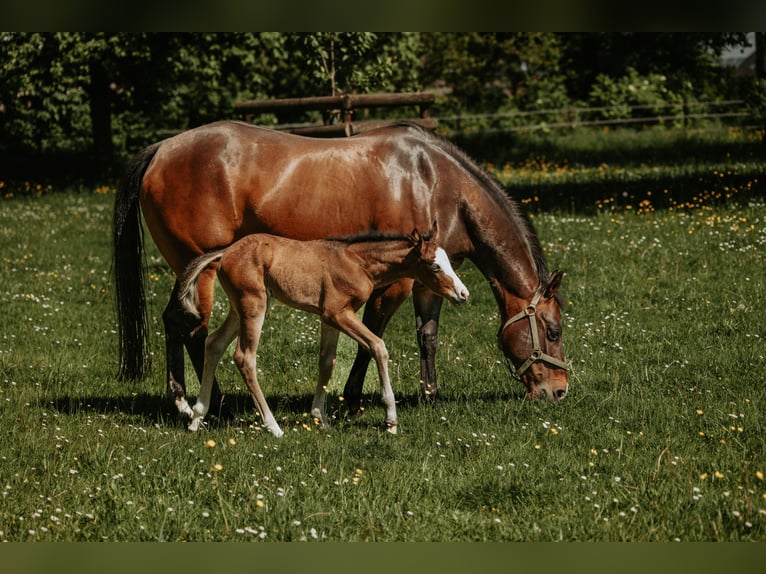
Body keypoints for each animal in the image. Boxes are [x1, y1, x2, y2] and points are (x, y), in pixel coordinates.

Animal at [178, 226, 469, 436]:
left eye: (449, 262)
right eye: (434, 265)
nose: (463, 293)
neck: (358, 262)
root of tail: (226, 252)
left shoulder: (329, 319)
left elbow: (327, 361)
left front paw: (320, 417)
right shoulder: (338, 313)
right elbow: (378, 346)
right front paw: (391, 420)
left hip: (241, 308)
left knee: (214, 343)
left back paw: (197, 417)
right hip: (253, 305)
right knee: (244, 357)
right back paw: (273, 426)